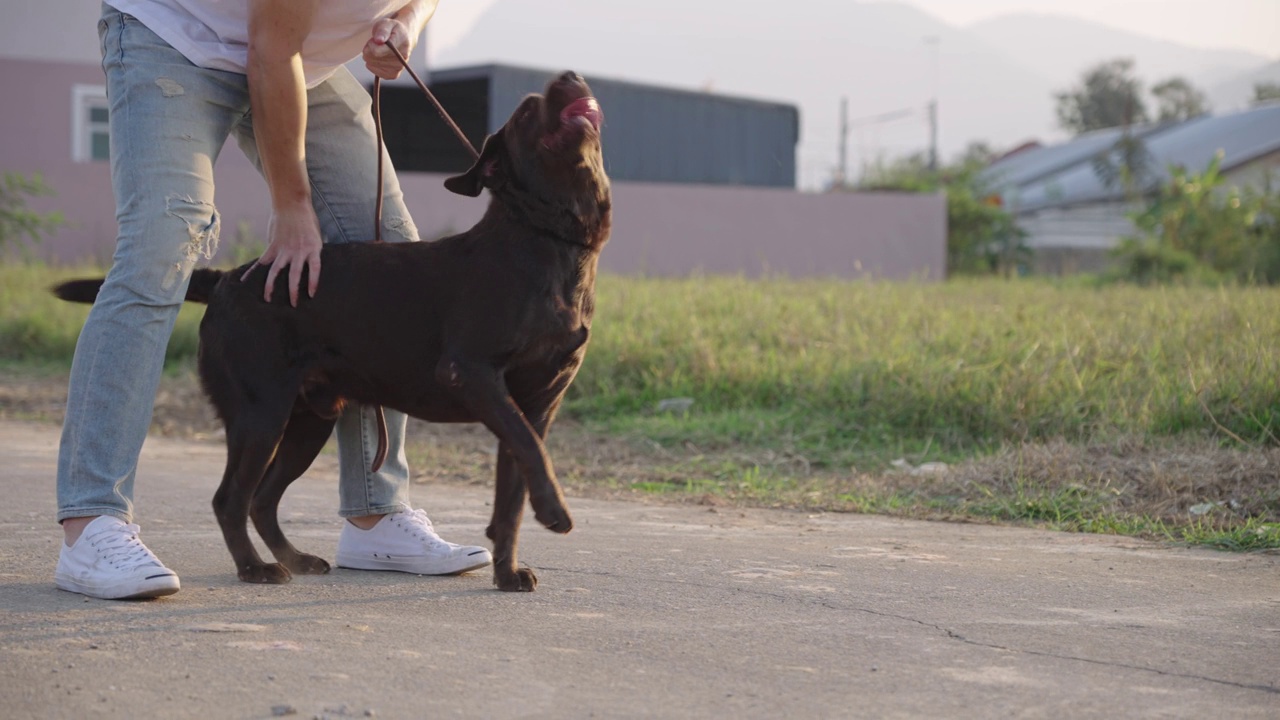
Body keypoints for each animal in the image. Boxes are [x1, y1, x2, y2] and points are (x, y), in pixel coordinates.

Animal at [60, 70, 614, 591]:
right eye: (527, 112)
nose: (570, 76)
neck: (549, 239)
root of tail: (230, 279)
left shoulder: (535, 403)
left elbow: (513, 493)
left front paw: (507, 571)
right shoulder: (472, 372)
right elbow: (533, 452)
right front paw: (555, 513)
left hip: (308, 420)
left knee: (261, 499)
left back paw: (293, 558)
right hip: (261, 413)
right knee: (230, 499)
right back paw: (255, 568)